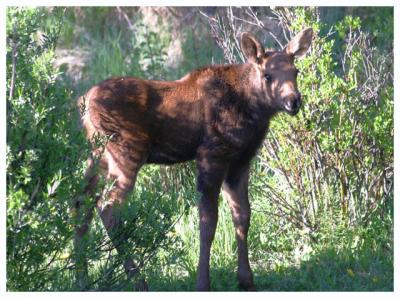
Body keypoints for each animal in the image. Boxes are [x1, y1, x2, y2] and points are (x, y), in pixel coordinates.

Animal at [74, 28, 312, 292]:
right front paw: (203, 283)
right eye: (268, 75)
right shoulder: (212, 154)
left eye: (295, 71)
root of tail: (83, 103)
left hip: (96, 156)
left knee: (81, 202)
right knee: (108, 209)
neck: (254, 111)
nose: (294, 101)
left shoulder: (241, 161)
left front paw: (246, 280)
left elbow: (242, 215)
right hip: (126, 153)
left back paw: (82, 277)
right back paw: (138, 281)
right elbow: (208, 221)